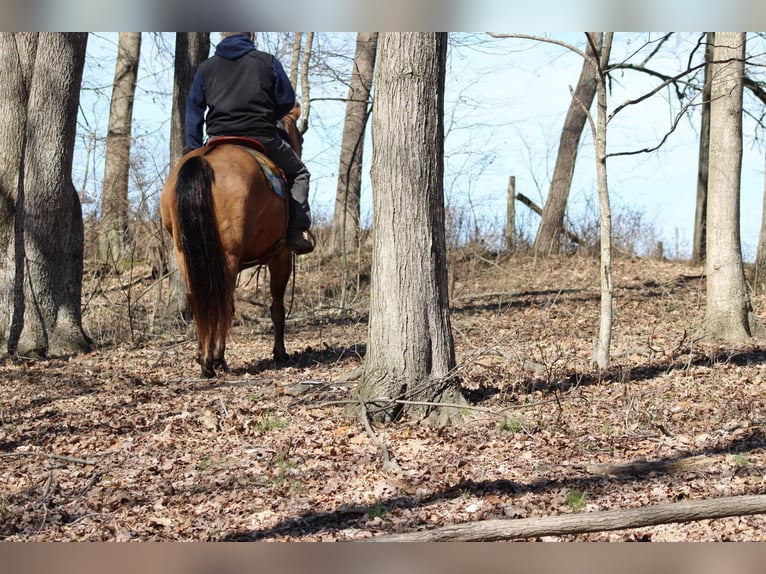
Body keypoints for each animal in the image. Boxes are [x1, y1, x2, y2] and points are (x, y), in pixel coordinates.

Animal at [160, 106, 304, 380]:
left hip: (186, 254)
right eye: (299, 138)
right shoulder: (280, 256)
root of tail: (204, 160)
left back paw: (204, 357)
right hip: (228, 253)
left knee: (199, 298)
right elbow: (277, 307)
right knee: (222, 301)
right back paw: (213, 359)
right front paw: (280, 352)